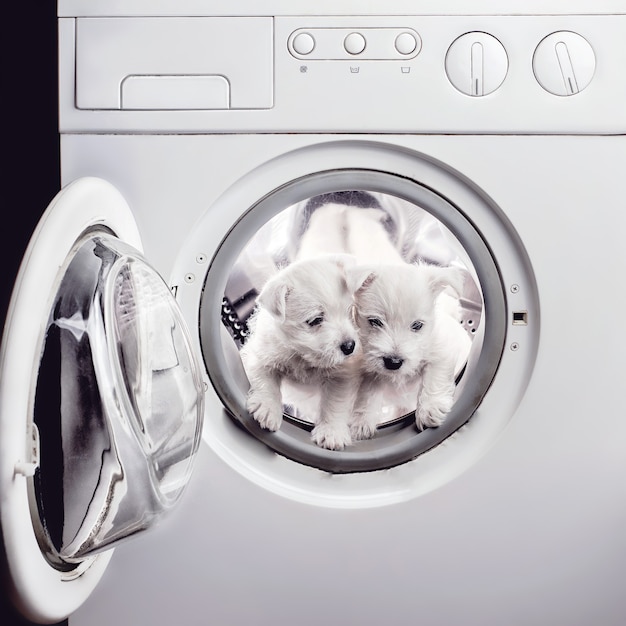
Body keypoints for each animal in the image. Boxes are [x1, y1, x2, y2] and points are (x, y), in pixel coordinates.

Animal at [241, 254, 364, 448]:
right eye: (315, 320)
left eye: (349, 312)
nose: (349, 346)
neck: (303, 355)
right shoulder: (262, 355)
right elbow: (266, 382)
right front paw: (268, 408)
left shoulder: (342, 375)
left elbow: (335, 403)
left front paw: (331, 432)